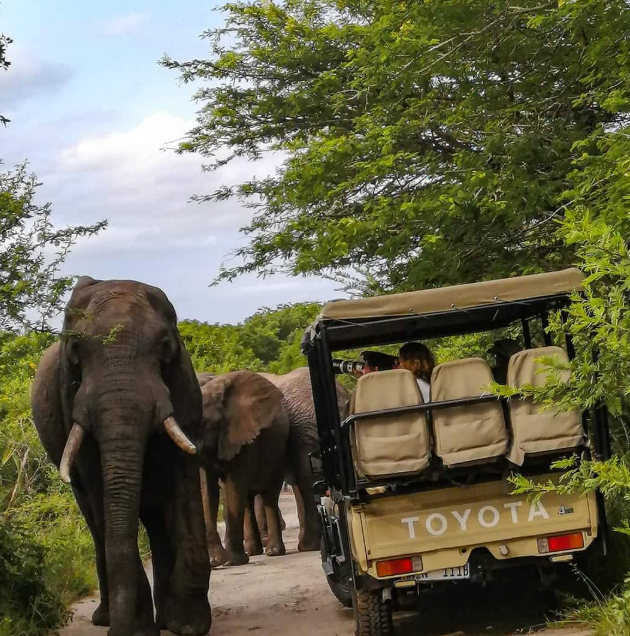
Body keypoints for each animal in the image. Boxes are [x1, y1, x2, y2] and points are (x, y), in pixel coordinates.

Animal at [30, 278, 212, 636]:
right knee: (95, 521)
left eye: (166, 346)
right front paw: (140, 630)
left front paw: (188, 625)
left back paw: (162, 619)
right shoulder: (70, 397)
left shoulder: (183, 390)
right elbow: (99, 486)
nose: (121, 631)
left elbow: (183, 479)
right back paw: (107, 618)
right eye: (75, 350)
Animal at [199, 372, 290, 568]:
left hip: (278, 453)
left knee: (269, 496)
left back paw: (273, 552)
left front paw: (232, 562)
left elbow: (234, 487)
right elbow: (208, 491)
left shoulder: (242, 437)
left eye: (203, 423)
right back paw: (254, 552)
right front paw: (216, 562)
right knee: (247, 500)